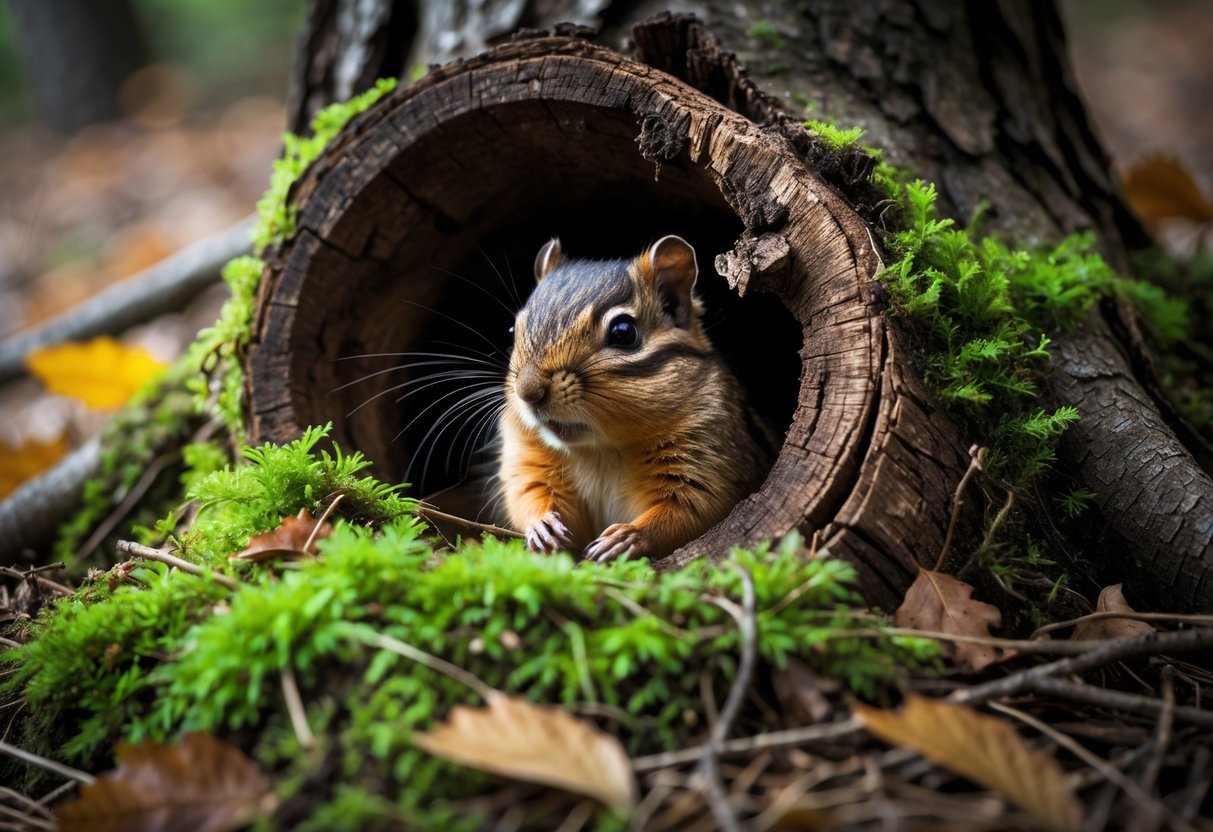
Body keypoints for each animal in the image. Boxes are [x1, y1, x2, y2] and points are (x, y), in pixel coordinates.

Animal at [497, 235, 773, 562]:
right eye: (512, 329)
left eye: (623, 332)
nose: (527, 391)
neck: (601, 450)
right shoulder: (528, 459)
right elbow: (529, 492)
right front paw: (542, 526)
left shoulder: (708, 460)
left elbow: (690, 510)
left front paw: (628, 536)